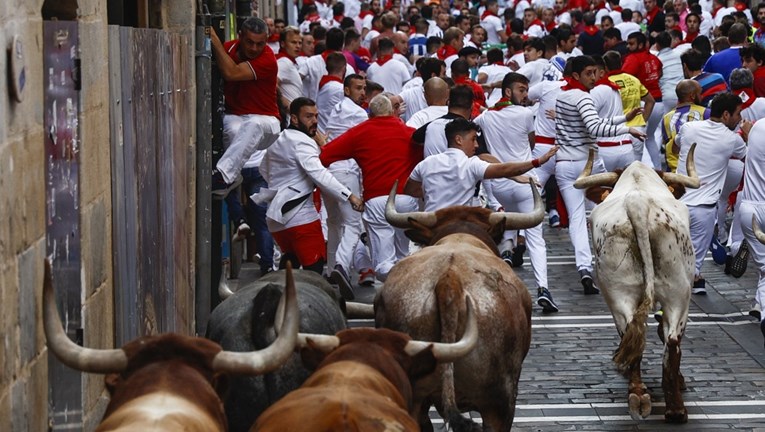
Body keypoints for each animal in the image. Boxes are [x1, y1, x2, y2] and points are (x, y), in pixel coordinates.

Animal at [572, 147, 700, 424]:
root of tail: (638, 204)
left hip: (622, 293)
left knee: (637, 333)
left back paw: (643, 395)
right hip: (677, 294)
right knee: (670, 340)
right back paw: (671, 407)